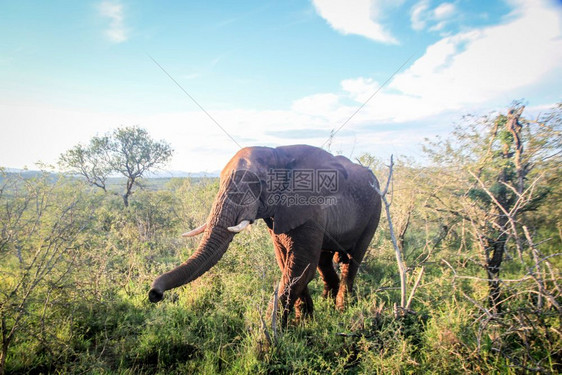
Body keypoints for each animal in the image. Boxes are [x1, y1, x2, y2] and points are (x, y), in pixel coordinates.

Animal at [149, 144, 380, 326]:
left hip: (373, 212)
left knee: (353, 259)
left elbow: (301, 266)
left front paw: (277, 333)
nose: (154, 294)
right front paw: (302, 323)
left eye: (258, 183)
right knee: (324, 262)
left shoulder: (309, 207)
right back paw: (328, 305)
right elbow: (286, 262)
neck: (278, 154)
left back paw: (341, 310)